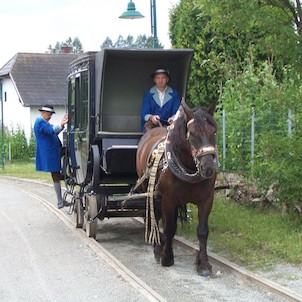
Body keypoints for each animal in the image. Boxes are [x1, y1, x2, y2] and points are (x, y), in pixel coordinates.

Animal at [136, 99, 217, 276]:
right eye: (192, 133)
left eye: (214, 131)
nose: (208, 168)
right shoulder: (169, 199)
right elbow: (169, 228)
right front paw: (167, 257)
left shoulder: (207, 200)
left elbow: (202, 231)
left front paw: (203, 263)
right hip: (150, 191)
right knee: (154, 218)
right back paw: (158, 248)